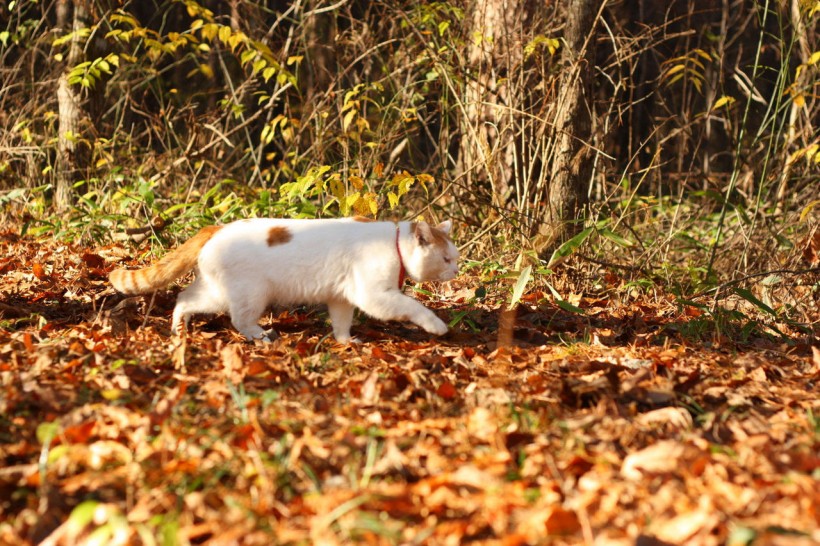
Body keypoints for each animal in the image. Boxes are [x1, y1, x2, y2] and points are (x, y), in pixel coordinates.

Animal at [107, 216, 462, 340]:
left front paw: (345, 341)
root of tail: (218, 227)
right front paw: (436, 326)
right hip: (248, 294)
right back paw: (260, 335)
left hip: (213, 289)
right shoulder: (374, 296)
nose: (456, 270)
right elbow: (414, 307)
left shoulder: (342, 298)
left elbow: (341, 322)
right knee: (238, 319)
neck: (395, 243)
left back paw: (179, 329)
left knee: (184, 299)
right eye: (447, 258)